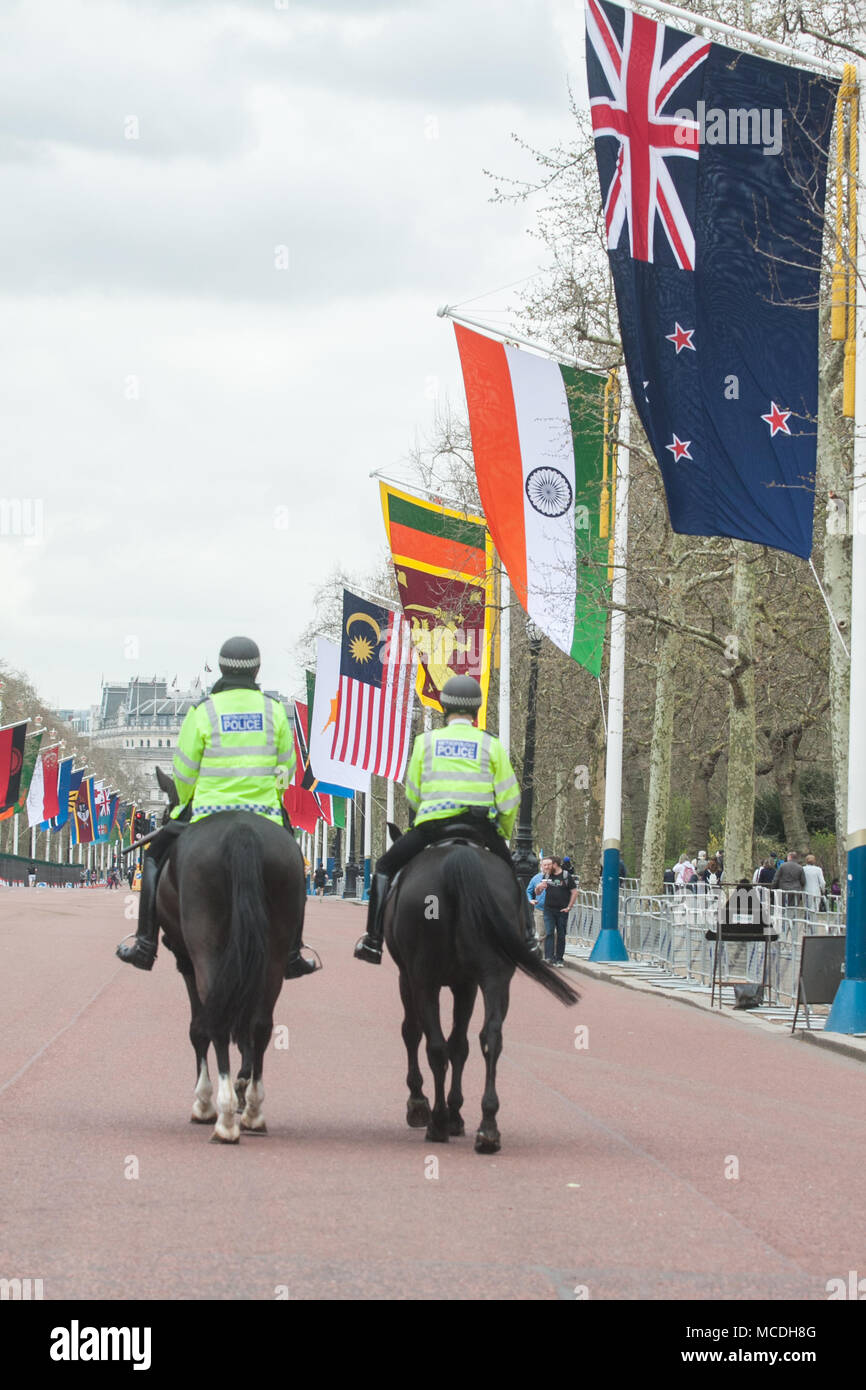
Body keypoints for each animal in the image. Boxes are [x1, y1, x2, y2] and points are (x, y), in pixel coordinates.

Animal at [154, 772, 307, 1139]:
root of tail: (241, 830)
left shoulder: (186, 961)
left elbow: (199, 1027)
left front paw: (204, 1101)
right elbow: (246, 1022)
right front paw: (242, 1084)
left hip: (205, 948)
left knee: (218, 1019)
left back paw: (222, 1117)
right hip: (273, 952)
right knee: (260, 1022)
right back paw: (252, 1110)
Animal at [383, 828, 578, 1156]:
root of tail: (460, 857)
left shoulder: (409, 977)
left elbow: (414, 1033)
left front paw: (421, 1104)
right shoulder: (468, 984)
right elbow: (460, 1045)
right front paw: (457, 1113)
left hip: (424, 979)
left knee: (435, 1045)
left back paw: (437, 1122)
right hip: (495, 977)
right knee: (491, 1037)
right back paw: (488, 1128)